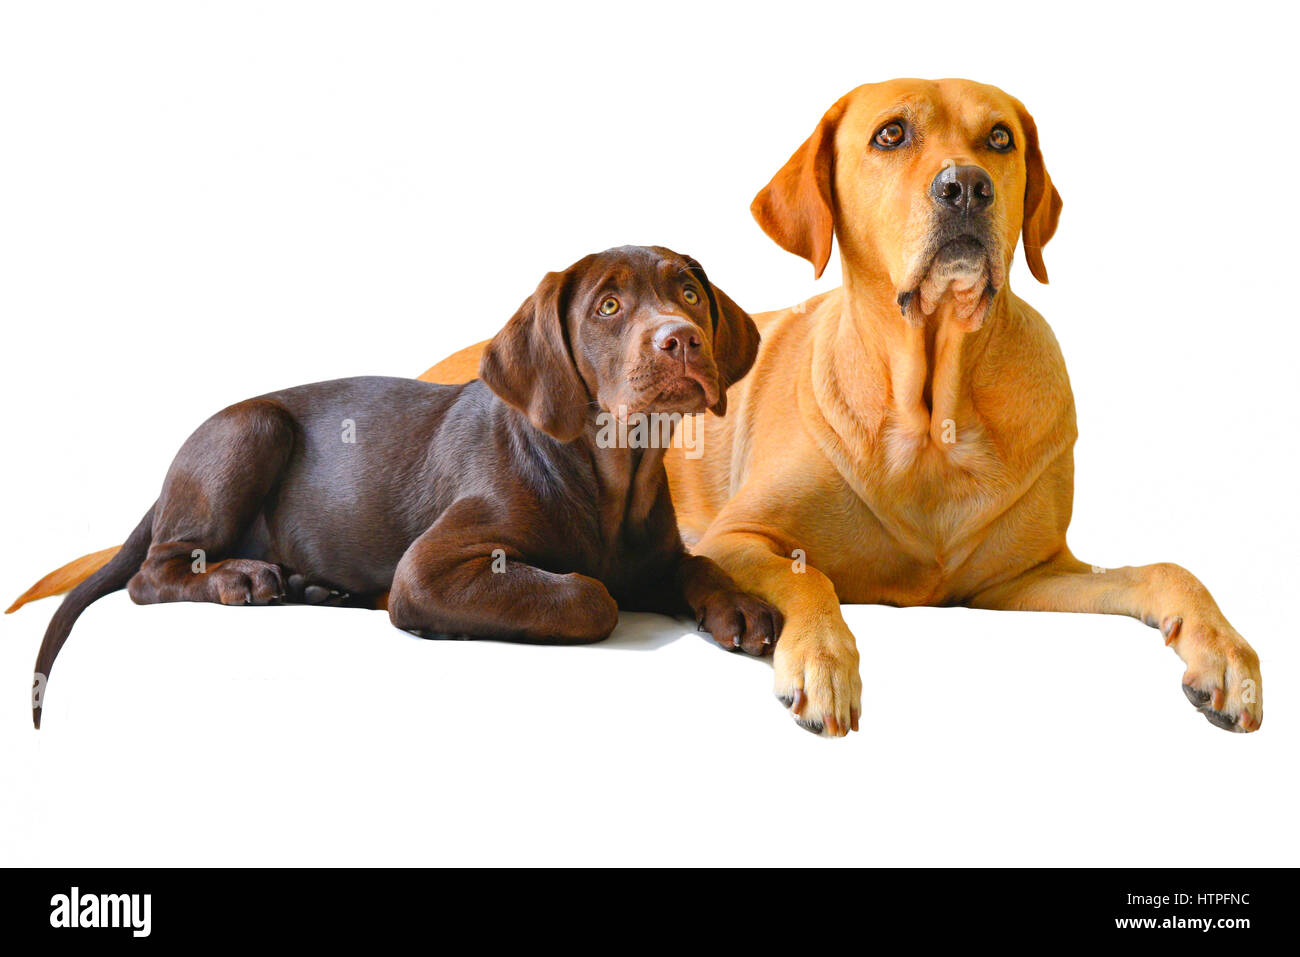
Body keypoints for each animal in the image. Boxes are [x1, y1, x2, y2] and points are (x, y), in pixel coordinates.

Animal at [25, 244, 780, 722]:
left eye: (689, 293)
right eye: (609, 307)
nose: (681, 339)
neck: (610, 477)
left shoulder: (657, 556)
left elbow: (697, 564)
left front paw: (740, 605)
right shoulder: (430, 567)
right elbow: (590, 595)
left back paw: (313, 586)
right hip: (253, 429)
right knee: (149, 574)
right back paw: (243, 578)